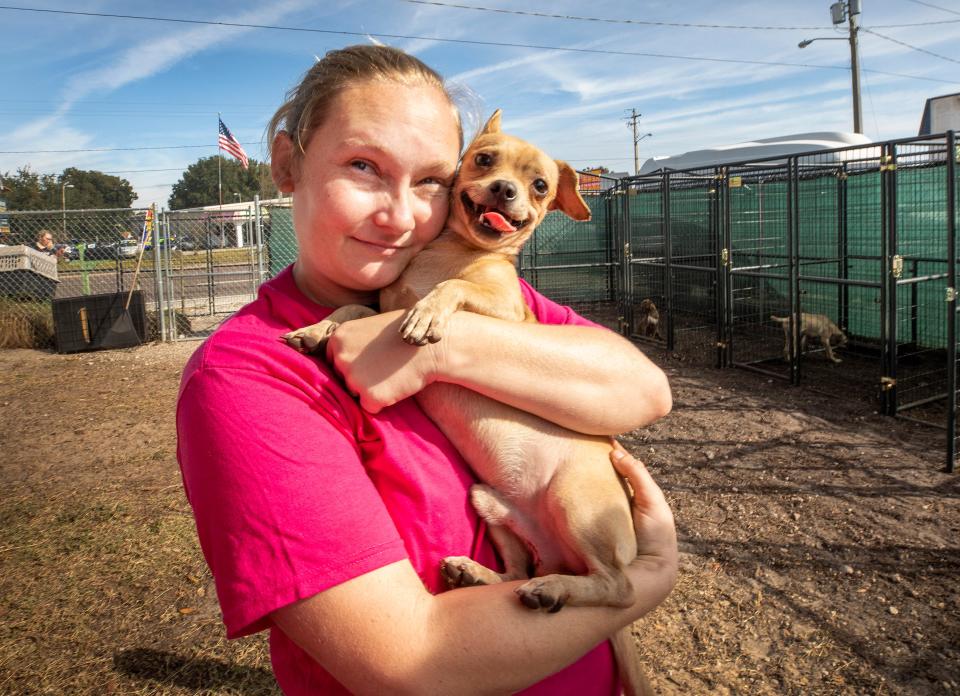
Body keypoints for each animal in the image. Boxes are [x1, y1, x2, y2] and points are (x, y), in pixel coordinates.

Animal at [288, 111, 648, 692]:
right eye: (483, 159)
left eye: (540, 186)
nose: (504, 189)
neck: (450, 252)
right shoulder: (376, 304)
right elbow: (349, 307)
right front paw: (316, 328)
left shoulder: (503, 309)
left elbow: (453, 290)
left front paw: (427, 313)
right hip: (491, 504)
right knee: (519, 572)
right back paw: (479, 574)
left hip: (576, 502)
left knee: (619, 587)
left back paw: (554, 590)